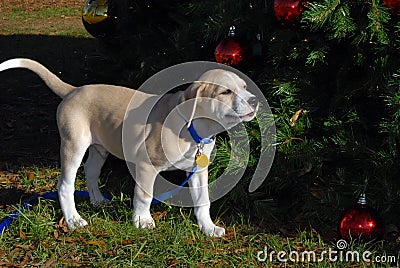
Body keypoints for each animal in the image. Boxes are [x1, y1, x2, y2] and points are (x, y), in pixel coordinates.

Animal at [0, 58, 260, 237]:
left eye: (244, 86)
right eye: (225, 92)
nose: (255, 100)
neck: (194, 129)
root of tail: (74, 90)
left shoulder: (198, 171)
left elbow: (203, 201)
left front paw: (208, 227)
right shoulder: (147, 166)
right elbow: (144, 196)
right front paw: (142, 221)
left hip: (99, 148)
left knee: (91, 172)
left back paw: (97, 200)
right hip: (74, 145)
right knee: (65, 185)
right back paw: (74, 219)